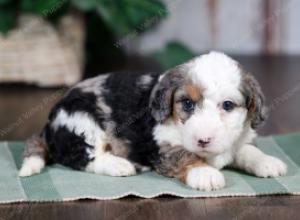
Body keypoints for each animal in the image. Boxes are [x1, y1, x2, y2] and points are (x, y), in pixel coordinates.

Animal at [18, 51, 286, 191]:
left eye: (228, 105)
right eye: (187, 104)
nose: (203, 140)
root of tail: (48, 125)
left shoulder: (240, 139)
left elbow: (247, 150)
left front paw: (268, 162)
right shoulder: (163, 147)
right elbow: (183, 155)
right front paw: (204, 173)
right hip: (82, 121)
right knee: (84, 157)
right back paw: (120, 165)